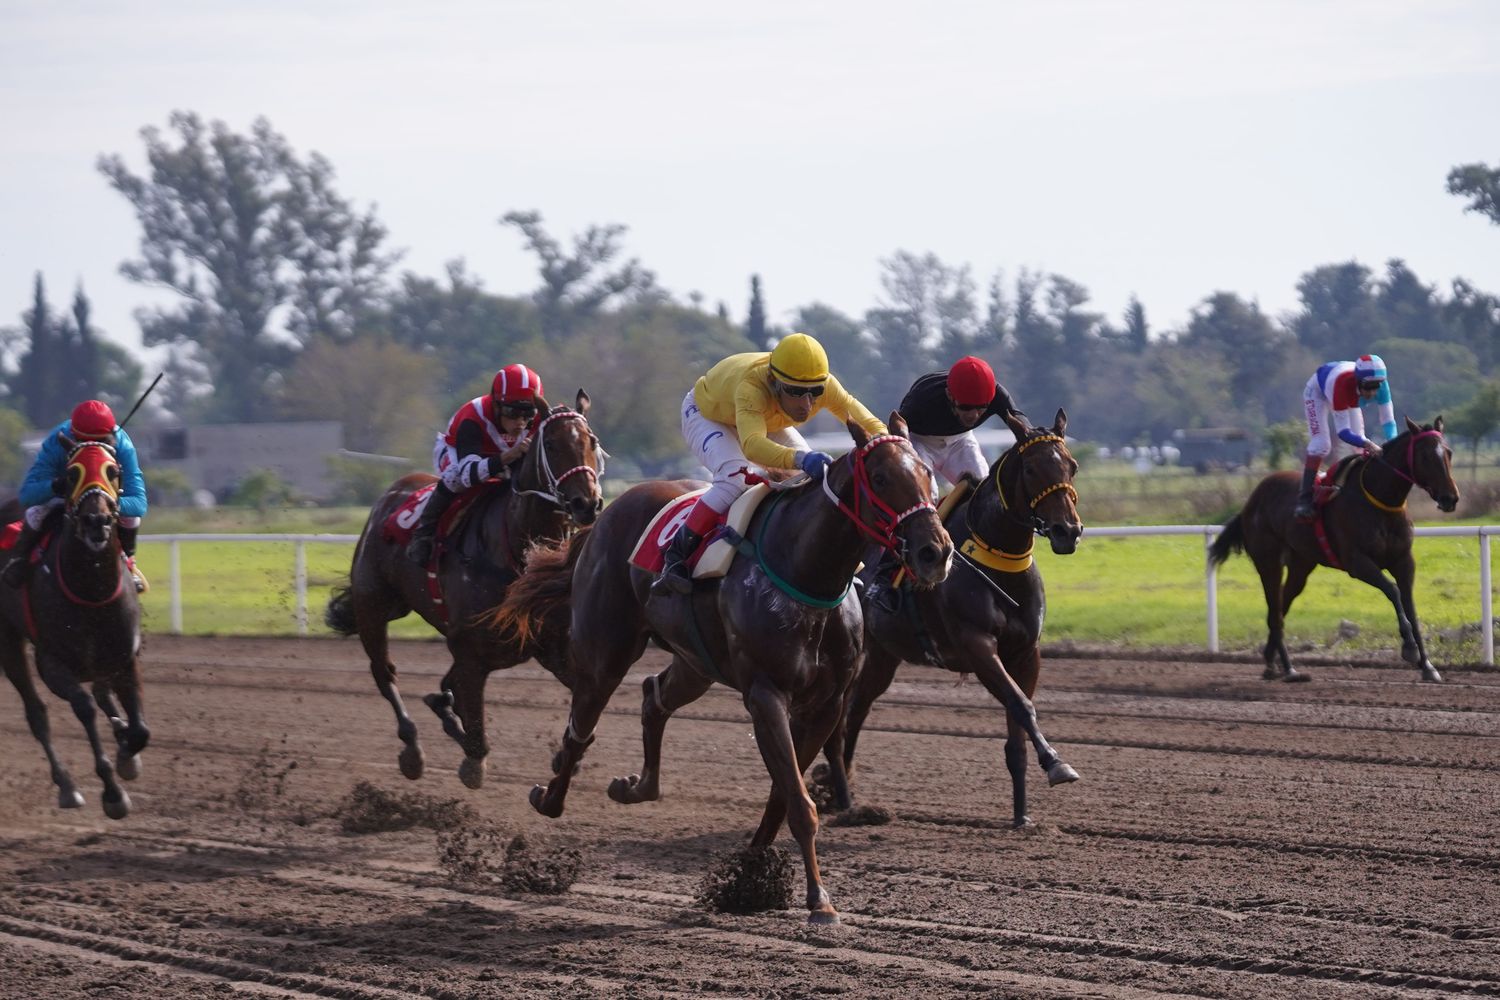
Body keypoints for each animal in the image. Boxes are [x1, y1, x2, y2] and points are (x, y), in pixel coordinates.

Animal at [0, 437, 146, 821]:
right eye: (70, 473)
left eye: (114, 470)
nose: (96, 520)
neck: (91, 589)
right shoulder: (52, 663)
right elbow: (83, 707)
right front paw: (113, 793)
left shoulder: (125, 656)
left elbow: (139, 728)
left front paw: (127, 754)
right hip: (7, 640)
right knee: (37, 713)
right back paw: (67, 786)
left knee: (102, 693)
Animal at [327, 392, 603, 791]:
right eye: (550, 444)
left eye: (591, 442)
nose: (588, 504)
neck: (513, 548)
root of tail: (389, 496)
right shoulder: (470, 649)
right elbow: (474, 737)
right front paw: (472, 761)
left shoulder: (552, 646)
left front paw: (568, 757)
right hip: (372, 608)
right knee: (385, 673)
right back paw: (412, 748)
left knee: (441, 689)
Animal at [498, 413, 954, 923]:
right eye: (879, 478)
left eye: (927, 472)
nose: (935, 552)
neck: (805, 572)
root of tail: (605, 514)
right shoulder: (765, 694)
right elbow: (798, 801)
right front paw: (818, 900)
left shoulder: (826, 704)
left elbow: (784, 795)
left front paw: (748, 878)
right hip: (607, 650)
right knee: (583, 721)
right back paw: (550, 797)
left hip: (695, 663)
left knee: (654, 695)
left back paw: (636, 787)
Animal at [822, 407, 1080, 827]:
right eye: (1031, 469)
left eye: (1071, 466)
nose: (1067, 531)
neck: (997, 563)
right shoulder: (977, 645)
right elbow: (1021, 704)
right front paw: (1057, 763)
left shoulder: (1026, 653)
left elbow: (1017, 728)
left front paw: (1022, 816)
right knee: (838, 722)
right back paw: (841, 799)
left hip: (881, 658)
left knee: (856, 712)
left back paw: (841, 793)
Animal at [1206, 419, 1464, 683]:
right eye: (1425, 456)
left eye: (1449, 453)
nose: (1450, 498)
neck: (1381, 501)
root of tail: (1251, 501)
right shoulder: (1357, 562)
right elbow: (1393, 591)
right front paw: (1410, 648)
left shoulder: (1404, 561)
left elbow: (1410, 606)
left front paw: (1428, 666)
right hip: (1268, 562)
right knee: (1275, 613)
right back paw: (1288, 668)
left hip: (1300, 565)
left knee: (1281, 607)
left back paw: (1272, 661)